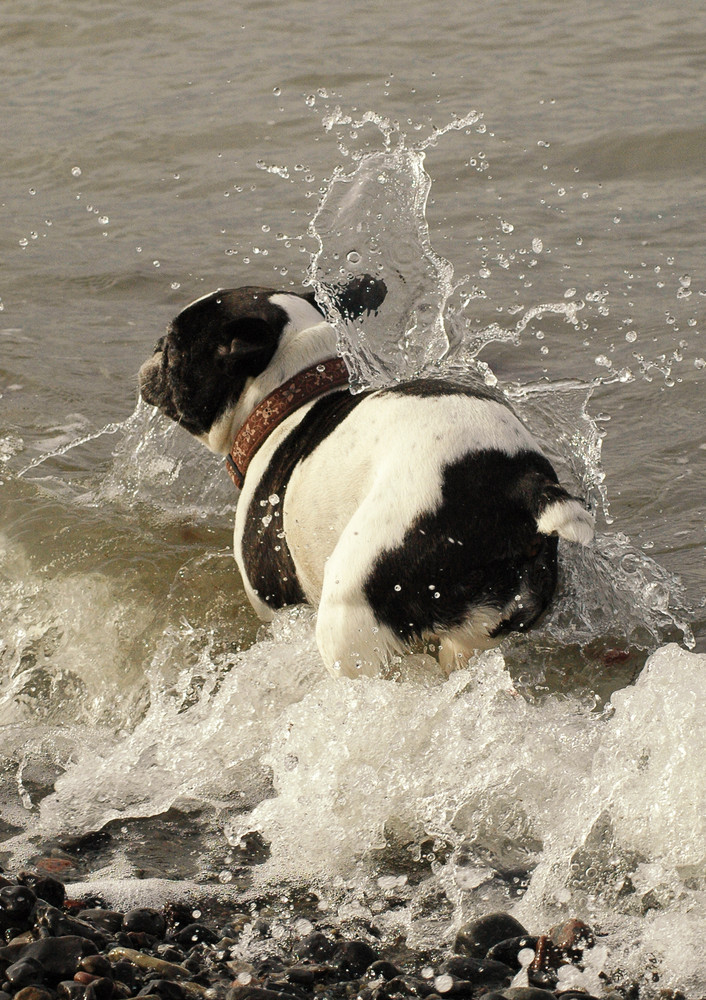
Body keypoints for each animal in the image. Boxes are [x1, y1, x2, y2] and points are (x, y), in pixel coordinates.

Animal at [140, 278, 592, 676]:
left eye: (172, 349)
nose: (150, 357)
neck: (288, 400)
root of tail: (523, 486)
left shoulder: (275, 608)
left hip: (351, 612)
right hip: (480, 631)